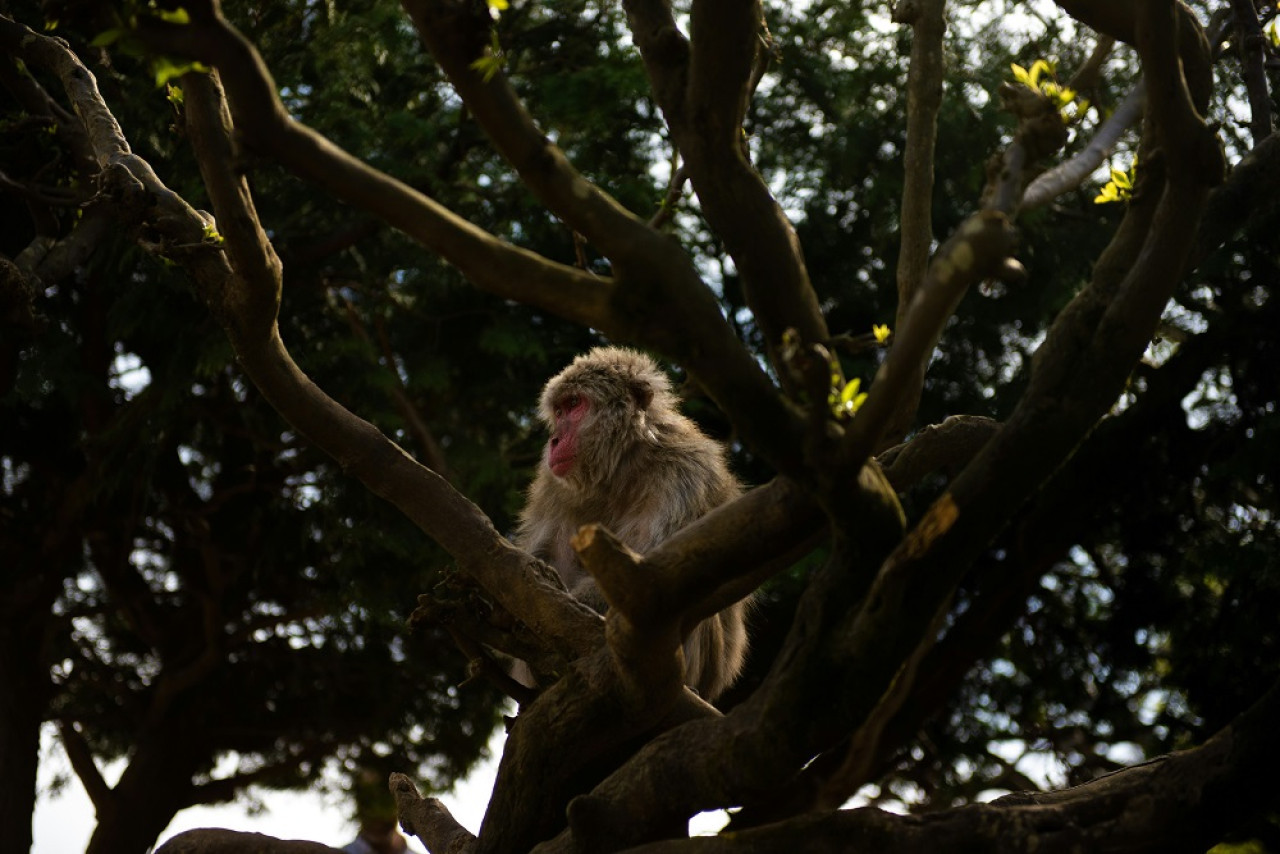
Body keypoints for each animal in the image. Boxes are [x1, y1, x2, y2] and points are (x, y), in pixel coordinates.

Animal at [512, 345, 747, 701]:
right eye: (559, 409)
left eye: (575, 404)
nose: (553, 440)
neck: (621, 467)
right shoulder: (553, 483)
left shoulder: (686, 472)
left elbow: (652, 581)